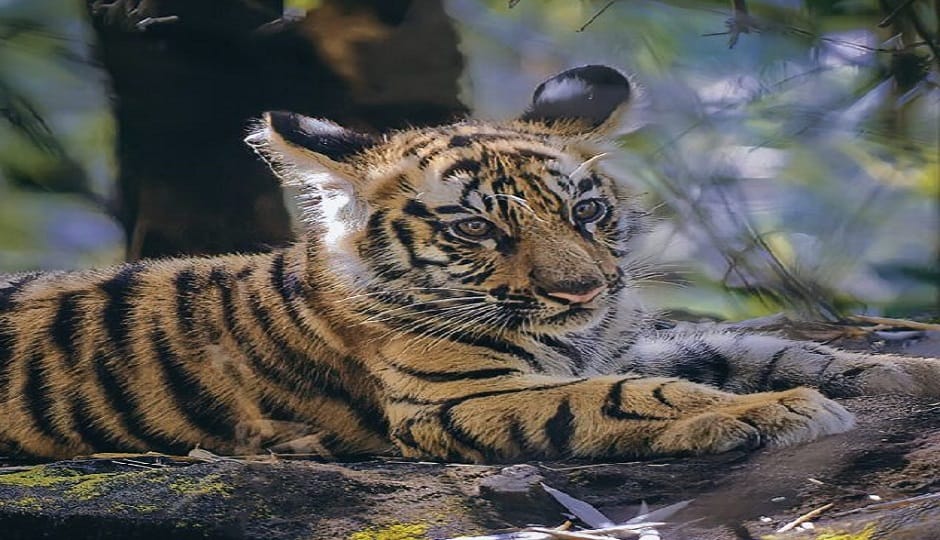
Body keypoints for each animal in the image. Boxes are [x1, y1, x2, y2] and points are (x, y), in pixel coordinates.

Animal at [1, 65, 938, 463]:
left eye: (586, 212)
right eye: (478, 231)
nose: (584, 288)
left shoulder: (622, 338)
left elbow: (772, 347)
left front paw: (902, 375)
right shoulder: (461, 396)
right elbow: (630, 396)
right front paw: (776, 411)